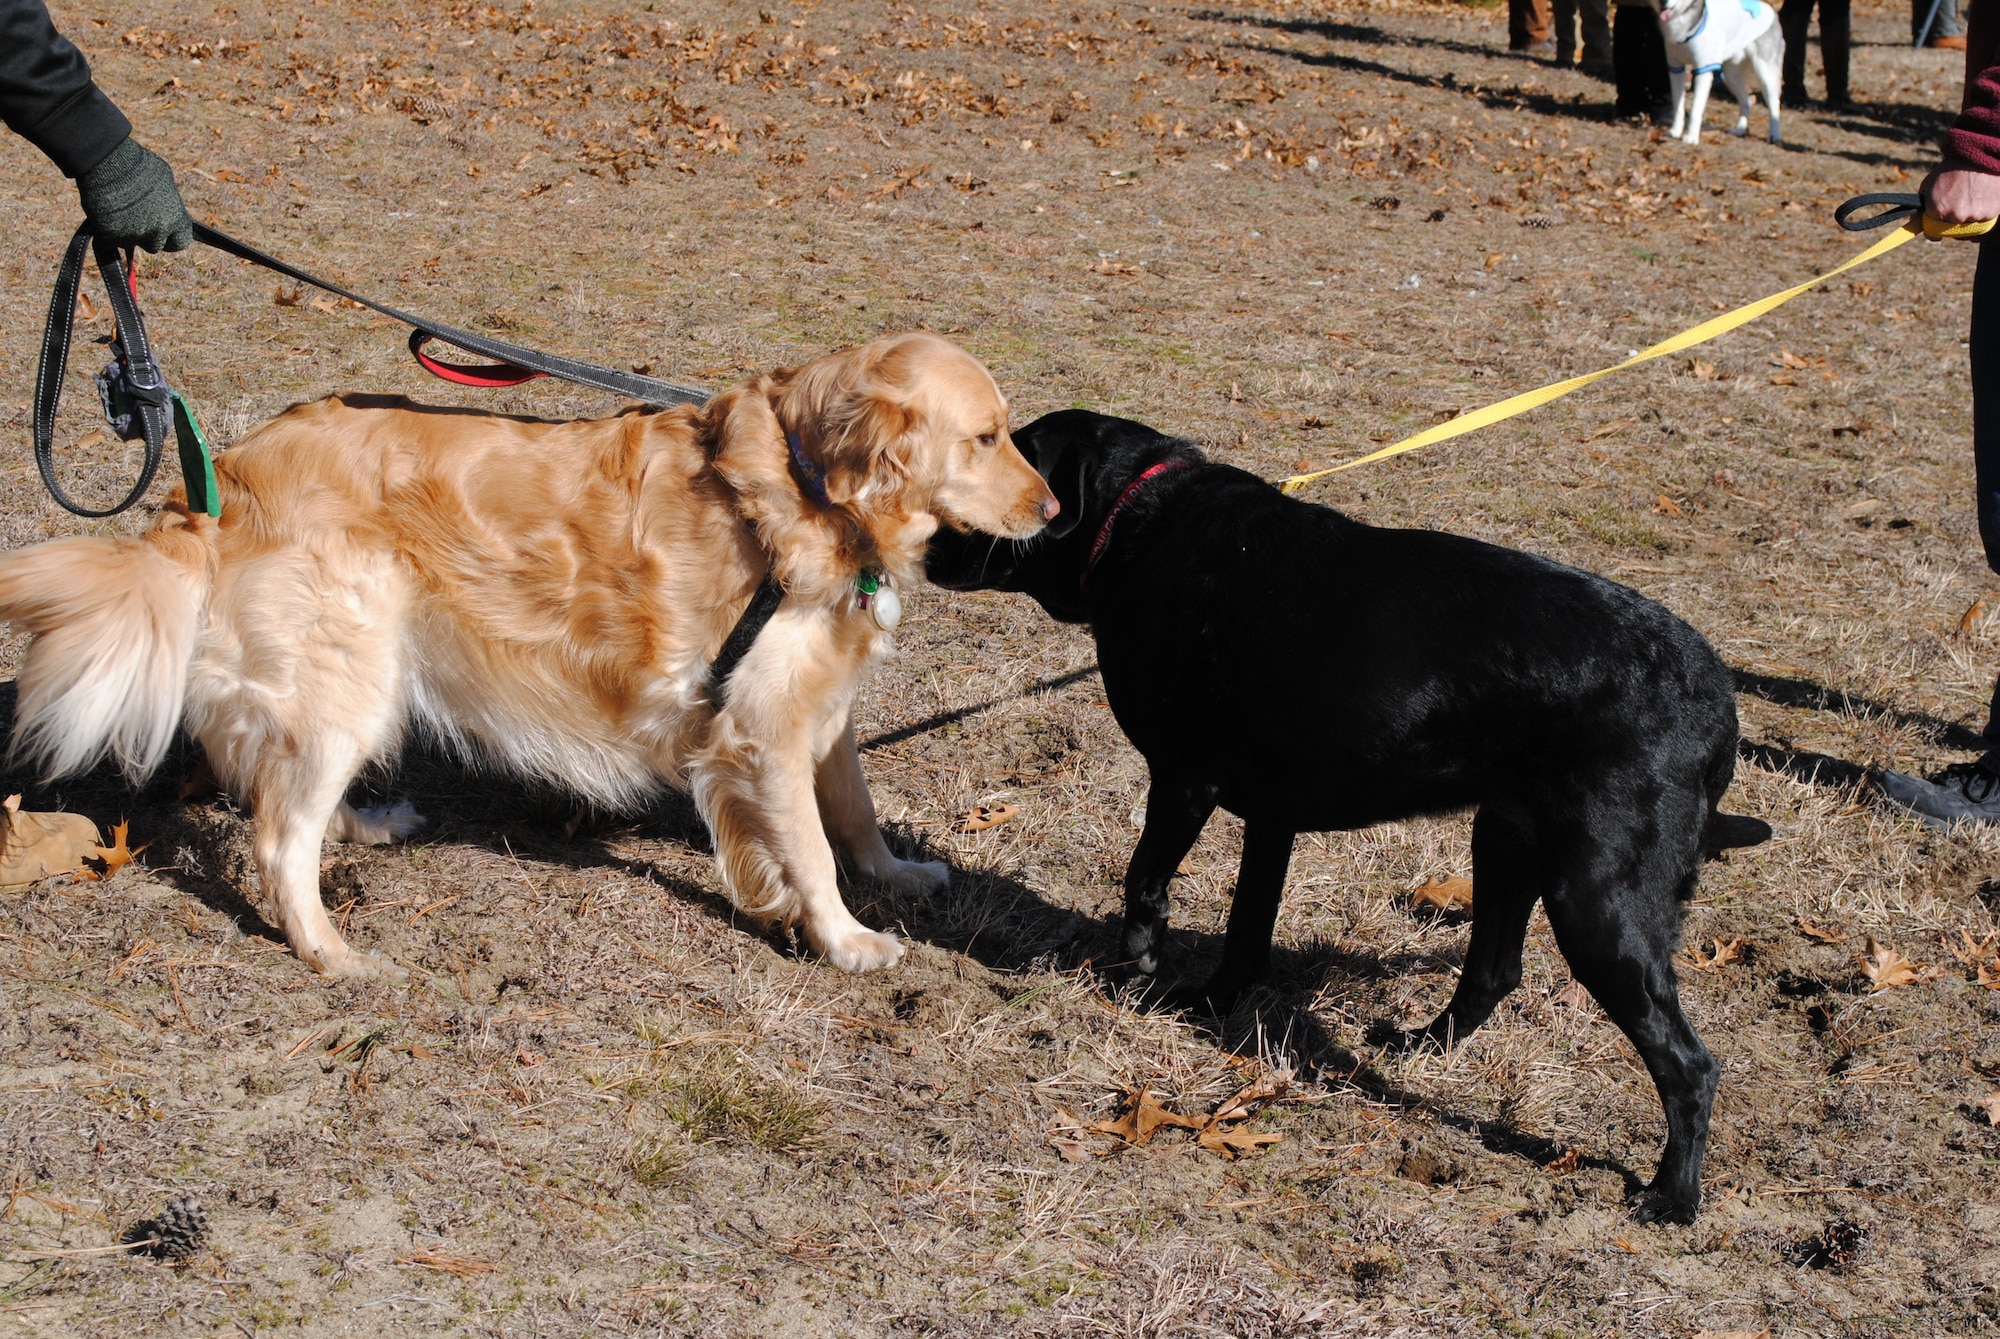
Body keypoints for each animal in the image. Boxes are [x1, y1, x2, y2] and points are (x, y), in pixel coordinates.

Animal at [928, 409, 1776, 1231]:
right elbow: (1247, 929)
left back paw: (1673, 1196)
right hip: (1504, 840)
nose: (923, 545)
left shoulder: (1182, 780)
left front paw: (1134, 974)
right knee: (1493, 971)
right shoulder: (1270, 817)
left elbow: (1144, 883)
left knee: (1690, 1065)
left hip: (1595, 900)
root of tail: (1719, 699)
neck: (1141, 519)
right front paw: (1207, 1003)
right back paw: (1421, 1042)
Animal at [1656, 0, 1784, 145]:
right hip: (1731, 76)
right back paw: (1740, 129)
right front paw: (1675, 131)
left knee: (1774, 105)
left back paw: (1774, 135)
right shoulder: (1675, 68)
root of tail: (1771, 10)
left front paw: (1691, 137)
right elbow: (1678, 106)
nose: (1663, 2)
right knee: (1746, 102)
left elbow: (1695, 110)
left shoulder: (1703, 70)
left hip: (1764, 72)